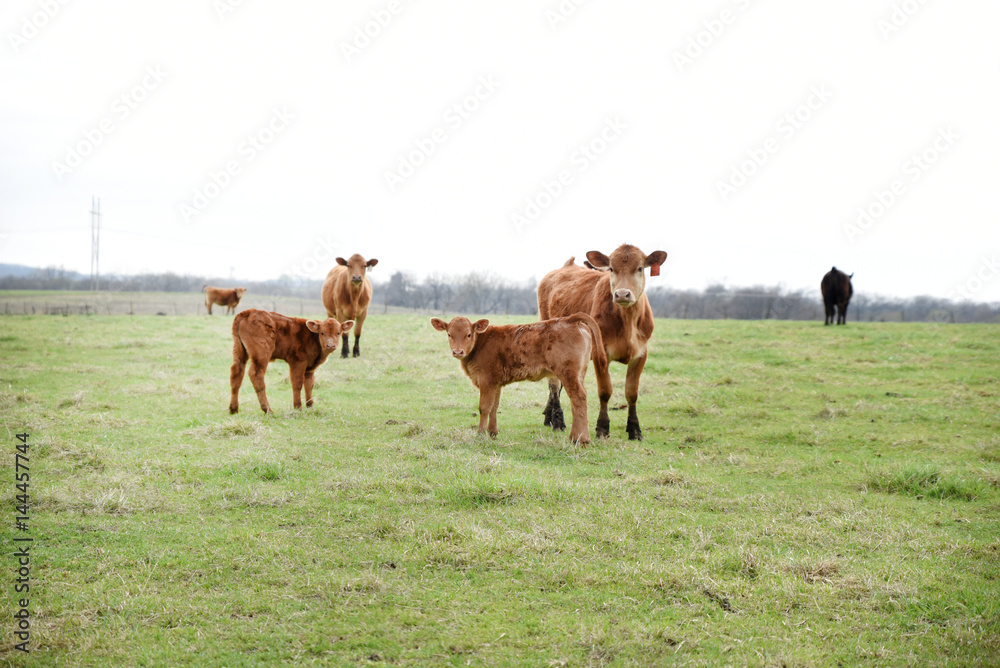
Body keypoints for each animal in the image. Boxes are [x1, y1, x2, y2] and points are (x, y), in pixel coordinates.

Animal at [431, 314, 611, 445]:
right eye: (449, 334)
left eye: (468, 334)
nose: (457, 352)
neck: (481, 343)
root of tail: (570, 319)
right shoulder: (496, 383)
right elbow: (494, 407)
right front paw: (492, 432)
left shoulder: (486, 381)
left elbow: (484, 407)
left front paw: (480, 434)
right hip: (578, 373)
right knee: (578, 400)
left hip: (569, 373)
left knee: (578, 398)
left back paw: (580, 439)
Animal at [537, 244, 667, 441]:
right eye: (612, 268)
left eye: (639, 268)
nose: (622, 294)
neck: (627, 321)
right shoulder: (601, 352)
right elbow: (605, 391)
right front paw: (602, 428)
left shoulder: (641, 353)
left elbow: (632, 392)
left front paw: (635, 430)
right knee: (554, 383)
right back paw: (558, 421)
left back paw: (549, 416)